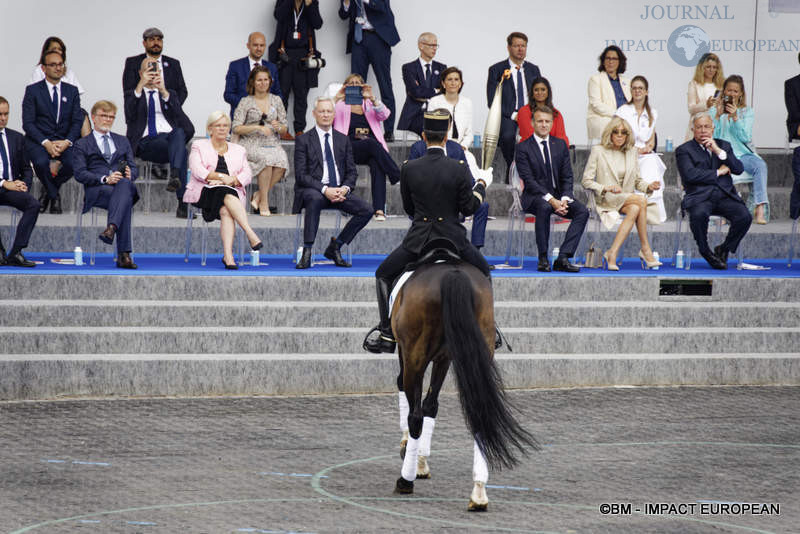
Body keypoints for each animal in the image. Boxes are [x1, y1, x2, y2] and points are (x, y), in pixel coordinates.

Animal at [390, 258, 536, 512]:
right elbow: (431, 405)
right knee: (478, 414)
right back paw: (478, 493)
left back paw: (405, 480)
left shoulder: (408, 354)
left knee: (415, 415)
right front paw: (421, 462)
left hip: (415, 356)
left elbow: (412, 399)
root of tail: (453, 273)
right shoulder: (444, 358)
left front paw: (410, 451)